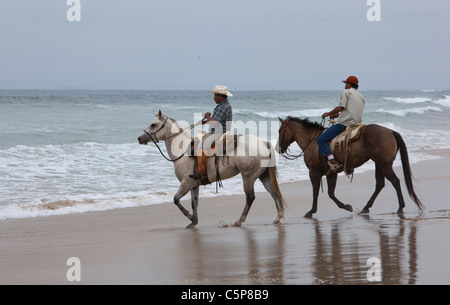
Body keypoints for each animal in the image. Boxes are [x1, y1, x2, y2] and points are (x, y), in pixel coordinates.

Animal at [137, 110, 284, 227]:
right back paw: (278, 218)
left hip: (248, 177)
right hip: (263, 176)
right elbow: (194, 203)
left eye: (153, 124)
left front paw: (190, 217)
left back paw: (239, 221)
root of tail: (263, 143)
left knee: (250, 197)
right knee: (274, 194)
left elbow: (176, 199)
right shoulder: (194, 184)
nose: (139, 138)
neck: (183, 151)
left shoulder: (186, 183)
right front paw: (194, 221)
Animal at [276, 115, 424, 217]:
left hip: (385, 165)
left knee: (395, 181)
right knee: (380, 184)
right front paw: (346, 206)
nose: (279, 149)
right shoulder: (332, 173)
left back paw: (400, 207)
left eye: (279, 131)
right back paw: (366, 207)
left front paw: (311, 211)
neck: (312, 141)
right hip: (379, 164)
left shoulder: (314, 172)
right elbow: (331, 193)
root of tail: (390, 131)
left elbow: (316, 192)